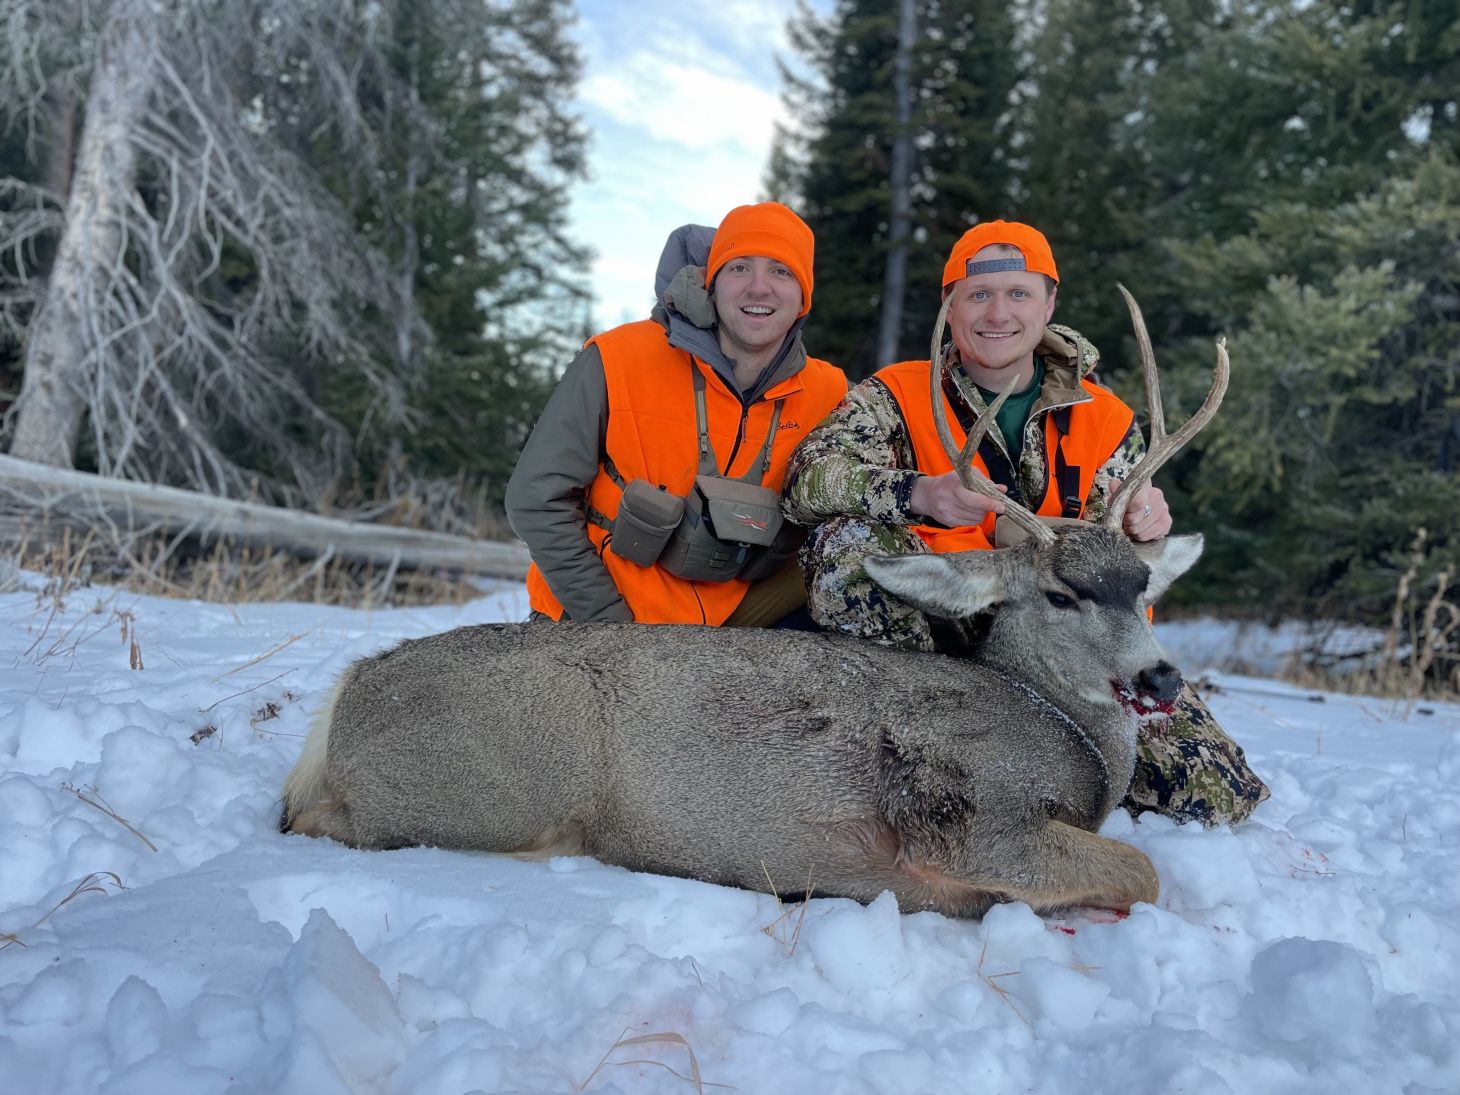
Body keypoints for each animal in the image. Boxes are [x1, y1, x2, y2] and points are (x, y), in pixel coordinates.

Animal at [281, 287, 1228, 919]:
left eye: (1141, 585)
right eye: (1063, 592)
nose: (1161, 676)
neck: (1064, 732)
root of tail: (347, 692)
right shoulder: (970, 820)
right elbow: (1140, 873)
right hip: (492, 789)